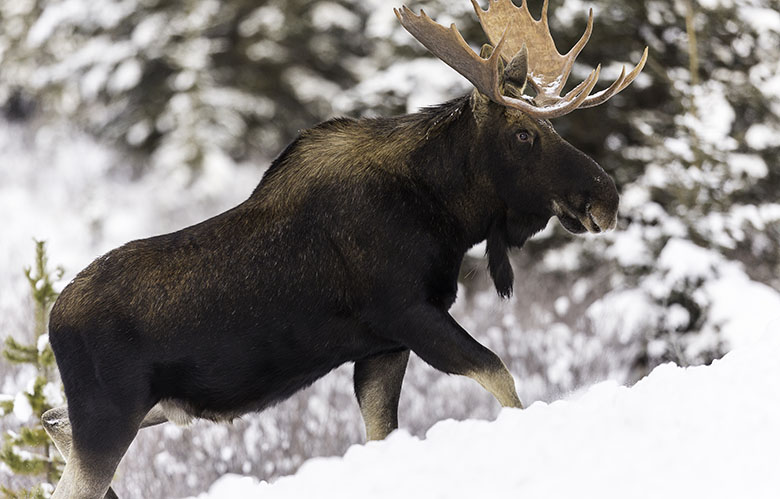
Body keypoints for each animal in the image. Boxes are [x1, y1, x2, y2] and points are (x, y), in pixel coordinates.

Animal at [42, 1, 647, 497]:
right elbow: (502, 376)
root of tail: (52, 320)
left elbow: (386, 432)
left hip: (134, 409)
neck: (447, 216)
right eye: (523, 133)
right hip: (109, 413)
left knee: (50, 420)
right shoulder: (409, 315)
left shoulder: (381, 347)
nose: (606, 196)